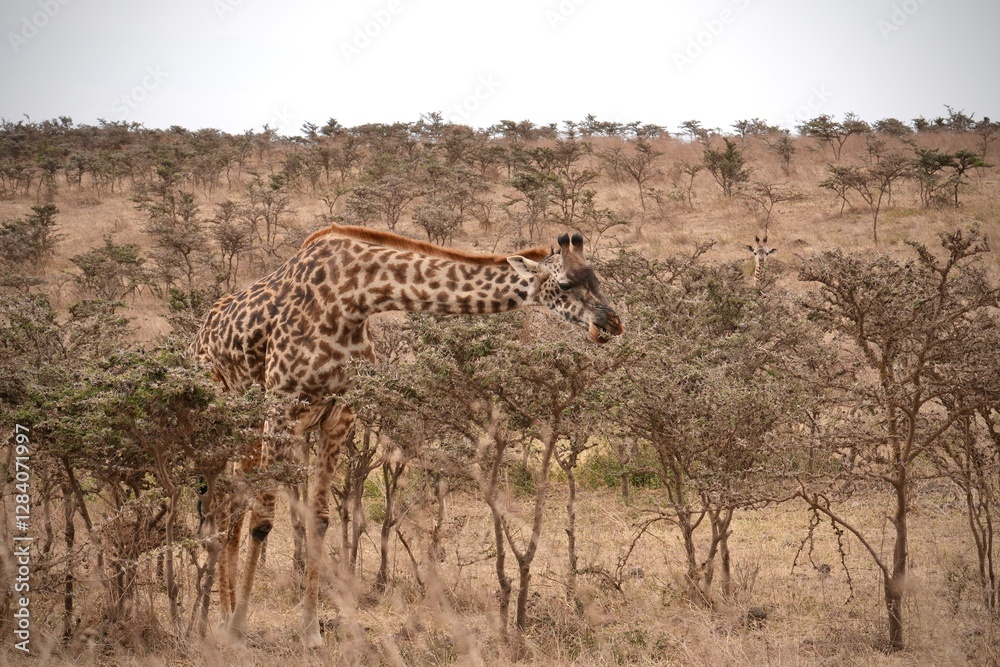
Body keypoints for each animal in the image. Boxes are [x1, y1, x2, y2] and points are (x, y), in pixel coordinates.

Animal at [189, 223, 622, 647]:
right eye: (564, 284)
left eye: (597, 277)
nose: (611, 323)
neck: (354, 300)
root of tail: (199, 335)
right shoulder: (281, 407)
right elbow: (263, 520)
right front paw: (238, 631)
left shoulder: (340, 415)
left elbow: (320, 520)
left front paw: (311, 632)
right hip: (227, 419)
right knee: (223, 506)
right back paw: (221, 622)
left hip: (247, 432)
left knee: (233, 501)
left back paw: (222, 614)